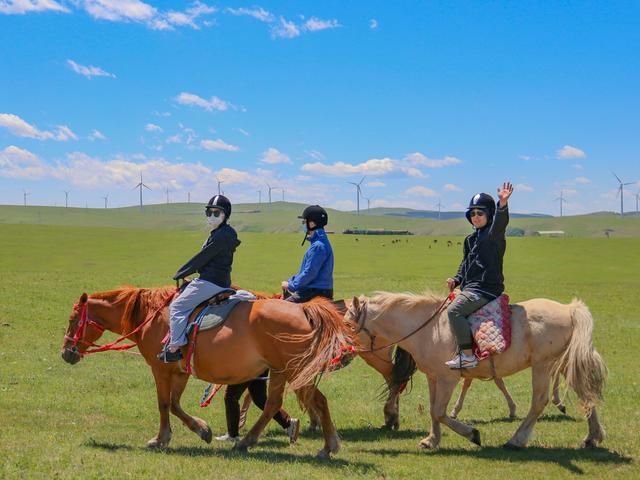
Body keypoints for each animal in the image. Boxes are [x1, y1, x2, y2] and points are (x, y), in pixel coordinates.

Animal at [348, 290, 608, 452]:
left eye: (349, 324)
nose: (342, 347)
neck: (430, 328)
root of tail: (569, 309)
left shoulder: (448, 378)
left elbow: (440, 412)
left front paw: (472, 434)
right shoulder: (433, 377)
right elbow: (433, 410)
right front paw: (432, 440)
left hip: (543, 365)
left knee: (539, 401)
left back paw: (516, 440)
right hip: (562, 363)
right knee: (584, 392)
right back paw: (592, 437)